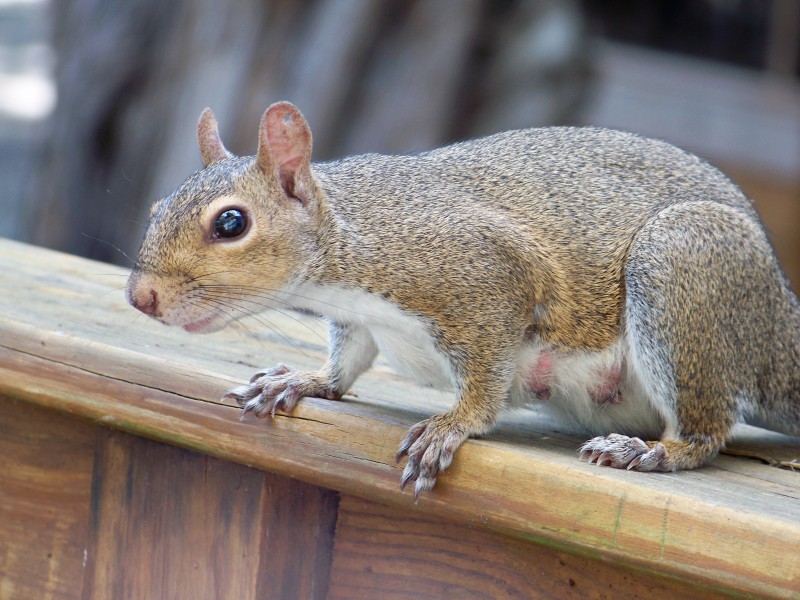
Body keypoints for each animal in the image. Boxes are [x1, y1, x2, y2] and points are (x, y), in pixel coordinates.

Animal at [126, 102, 800, 496]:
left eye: (231, 223)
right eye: (155, 208)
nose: (141, 297)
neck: (350, 235)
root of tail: (777, 319)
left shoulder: (487, 280)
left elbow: (486, 373)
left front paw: (452, 425)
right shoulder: (357, 319)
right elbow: (347, 362)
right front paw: (306, 381)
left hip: (680, 268)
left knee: (707, 431)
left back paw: (651, 451)